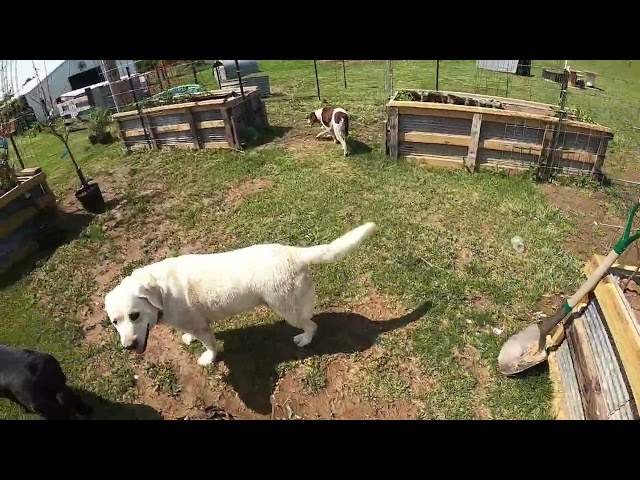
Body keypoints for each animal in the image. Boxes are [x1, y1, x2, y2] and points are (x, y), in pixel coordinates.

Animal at [103, 223, 378, 366]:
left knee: (312, 325)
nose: (128, 347)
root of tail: (293, 252)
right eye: (115, 322)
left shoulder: (203, 328)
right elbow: (192, 334)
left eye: (135, 315)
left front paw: (208, 358)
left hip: (288, 311)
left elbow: (210, 345)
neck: (162, 291)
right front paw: (188, 339)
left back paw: (304, 339)